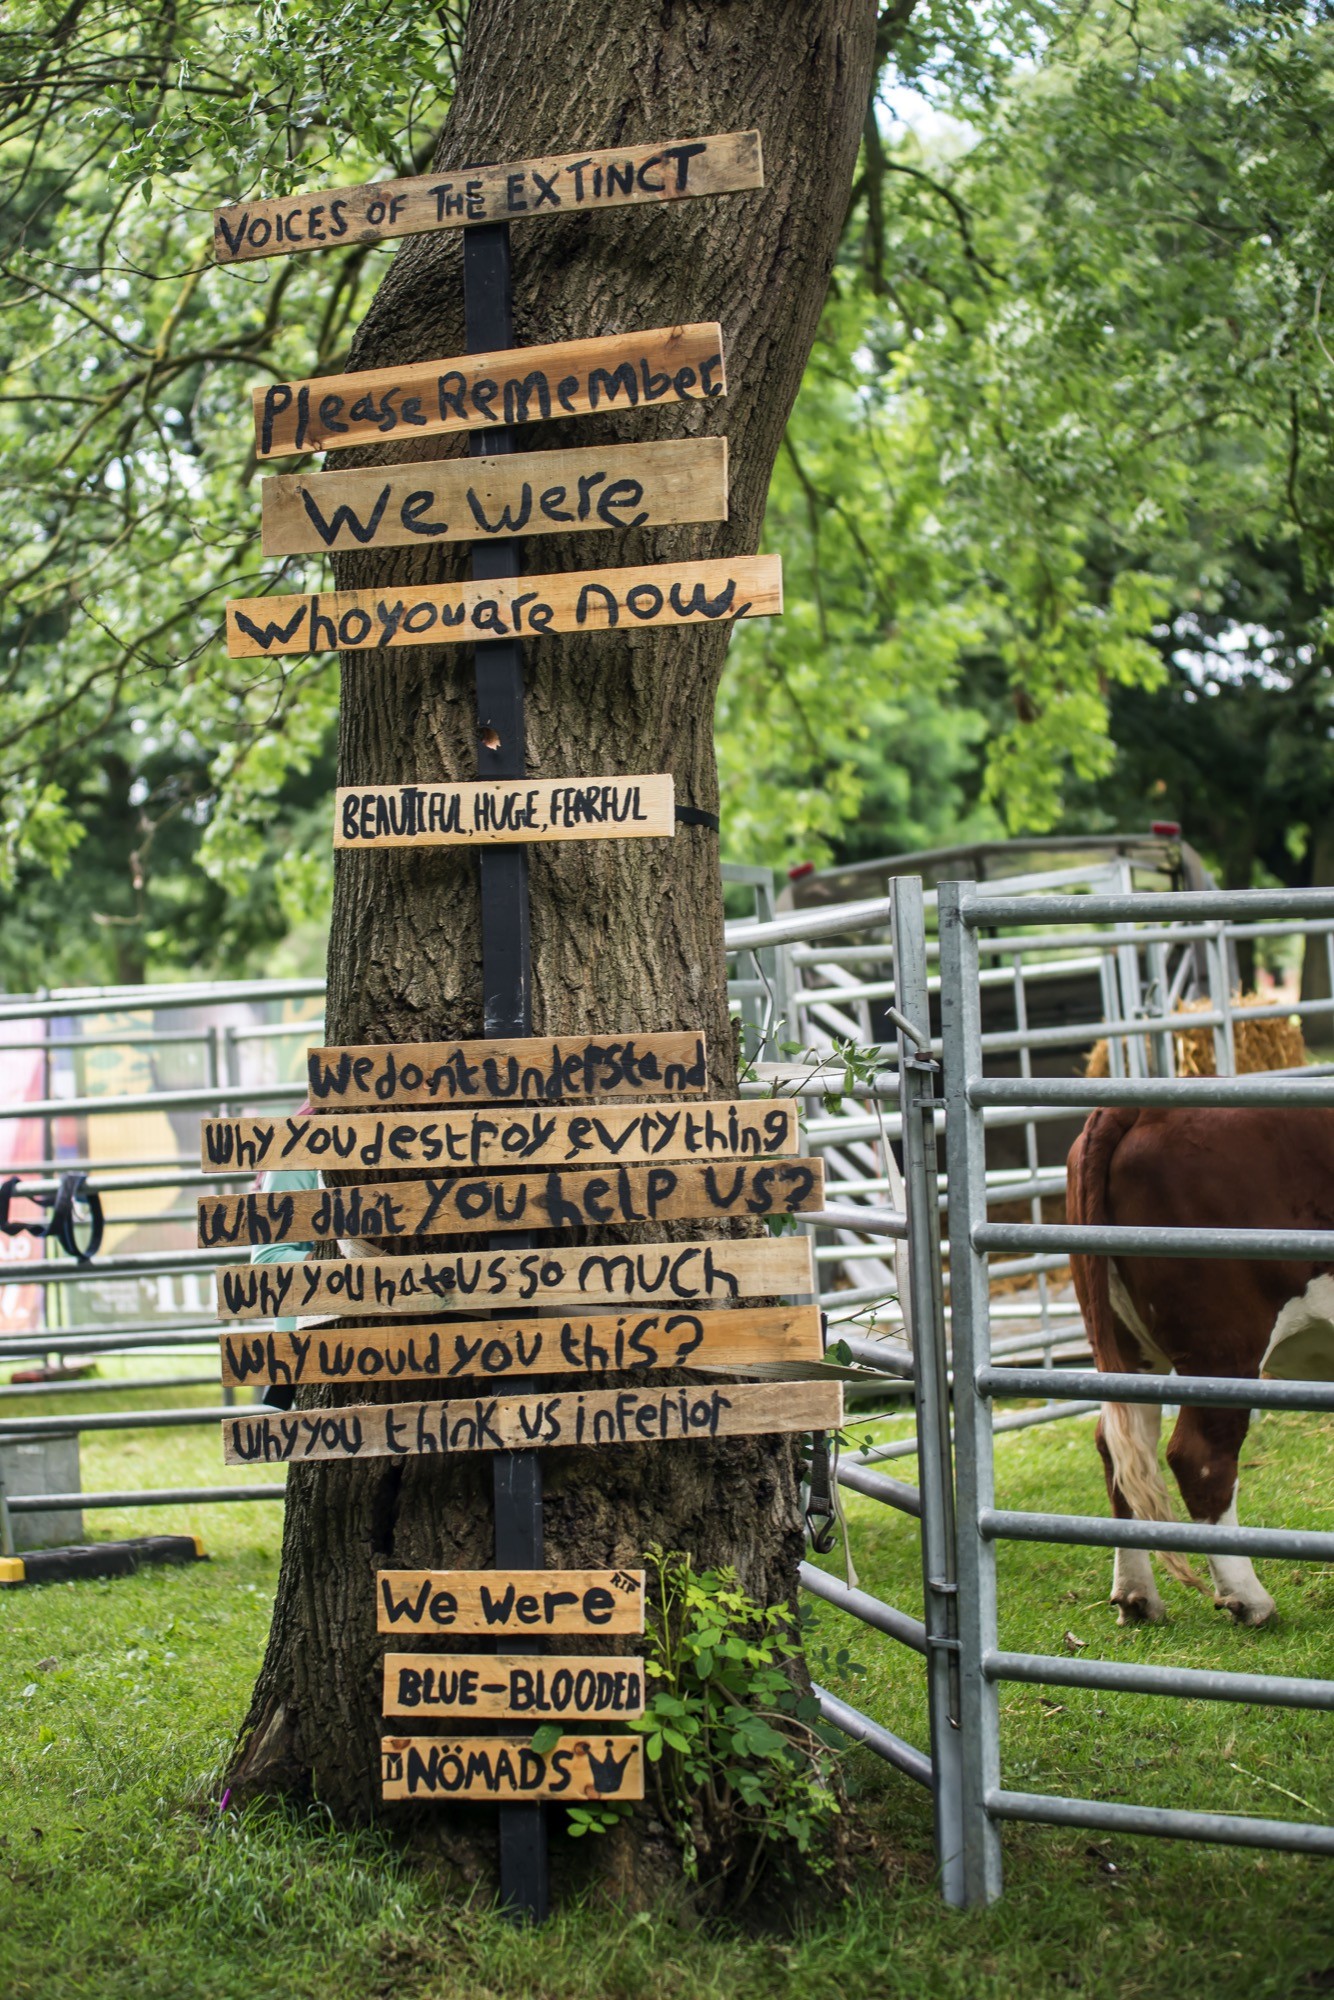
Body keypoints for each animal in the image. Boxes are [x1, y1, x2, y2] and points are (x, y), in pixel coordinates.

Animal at [1064, 1104, 1334, 1632]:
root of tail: (1143, 1107)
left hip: (1127, 1352)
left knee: (1118, 1449)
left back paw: (1136, 1596)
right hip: (1225, 1346)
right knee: (1200, 1457)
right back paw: (1248, 1599)